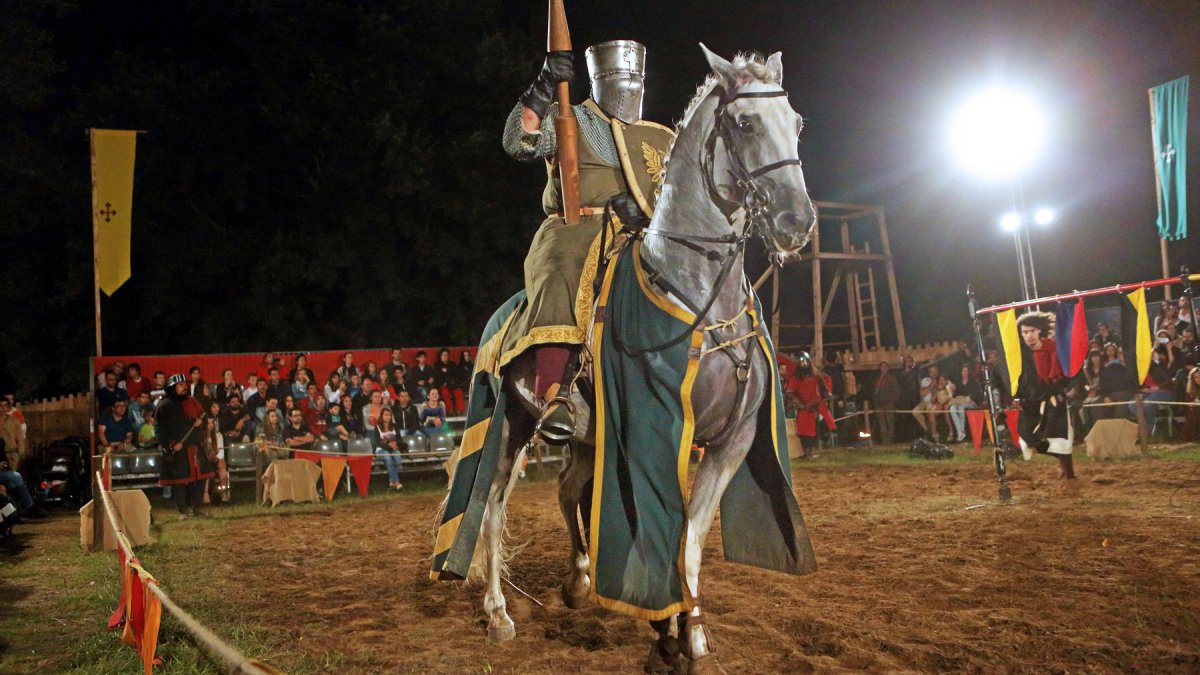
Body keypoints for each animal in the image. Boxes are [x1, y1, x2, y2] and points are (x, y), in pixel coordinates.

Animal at [468, 44, 816, 667]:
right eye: (744, 123)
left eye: (796, 123)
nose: (796, 222)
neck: (696, 292)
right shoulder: (653, 430)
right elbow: (661, 526)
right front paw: (664, 627)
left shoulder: (729, 444)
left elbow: (692, 540)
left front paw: (692, 633)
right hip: (512, 420)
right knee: (492, 506)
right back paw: (499, 613)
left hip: (587, 435)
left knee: (568, 488)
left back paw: (579, 581)